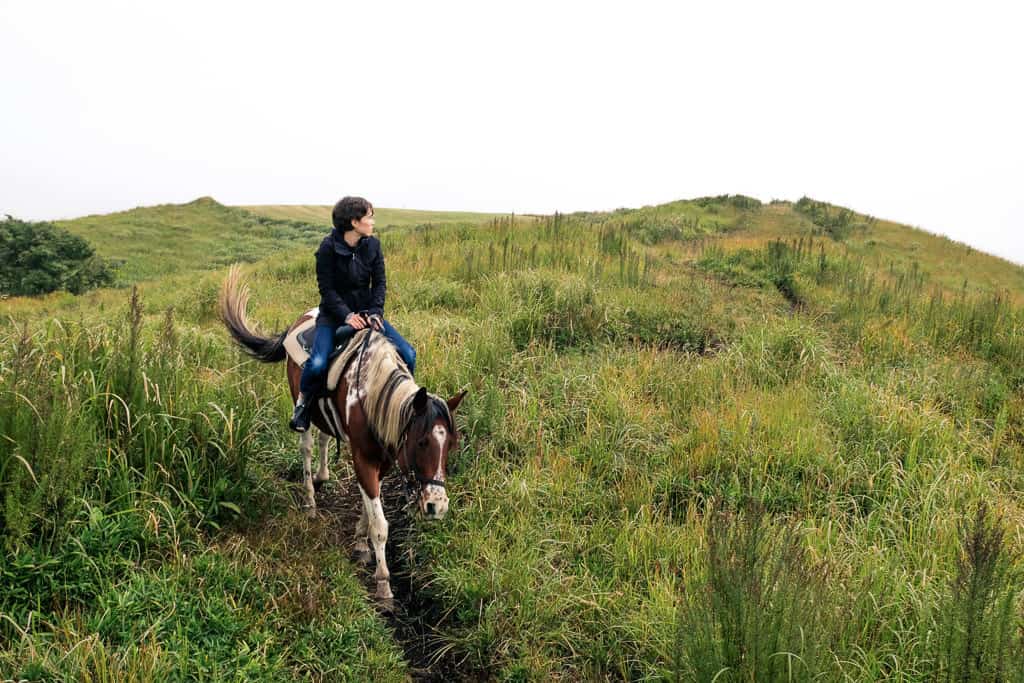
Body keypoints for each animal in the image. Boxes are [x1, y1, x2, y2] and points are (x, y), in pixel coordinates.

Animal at [222, 266, 468, 598]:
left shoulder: (383, 459)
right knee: (307, 447)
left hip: (325, 415)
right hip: (301, 403)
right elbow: (380, 524)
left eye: (451, 444)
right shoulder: (364, 457)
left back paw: (323, 476)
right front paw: (383, 583)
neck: (372, 395)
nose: (437, 506)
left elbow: (369, 507)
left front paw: (361, 542)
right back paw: (310, 501)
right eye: (421, 442)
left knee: (325, 438)